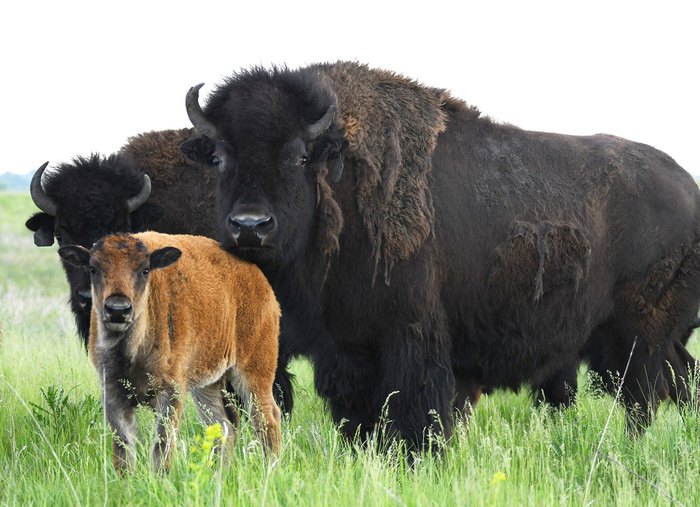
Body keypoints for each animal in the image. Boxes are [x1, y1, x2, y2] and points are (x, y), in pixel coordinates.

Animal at [58, 233, 282, 472]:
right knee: (224, 427)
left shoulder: (170, 392)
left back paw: (270, 470)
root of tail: (260, 282)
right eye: (93, 268)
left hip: (254, 375)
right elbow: (123, 452)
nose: (118, 309)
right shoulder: (113, 393)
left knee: (268, 419)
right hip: (207, 386)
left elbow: (162, 446)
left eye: (145, 269)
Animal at [182, 61, 700, 450]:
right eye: (220, 156)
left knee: (644, 397)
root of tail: (688, 187)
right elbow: (359, 419)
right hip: (643, 339)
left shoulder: (412, 339)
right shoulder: (346, 350)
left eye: (297, 155)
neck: (342, 176)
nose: (250, 226)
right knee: (678, 382)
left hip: (636, 337)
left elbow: (416, 413)